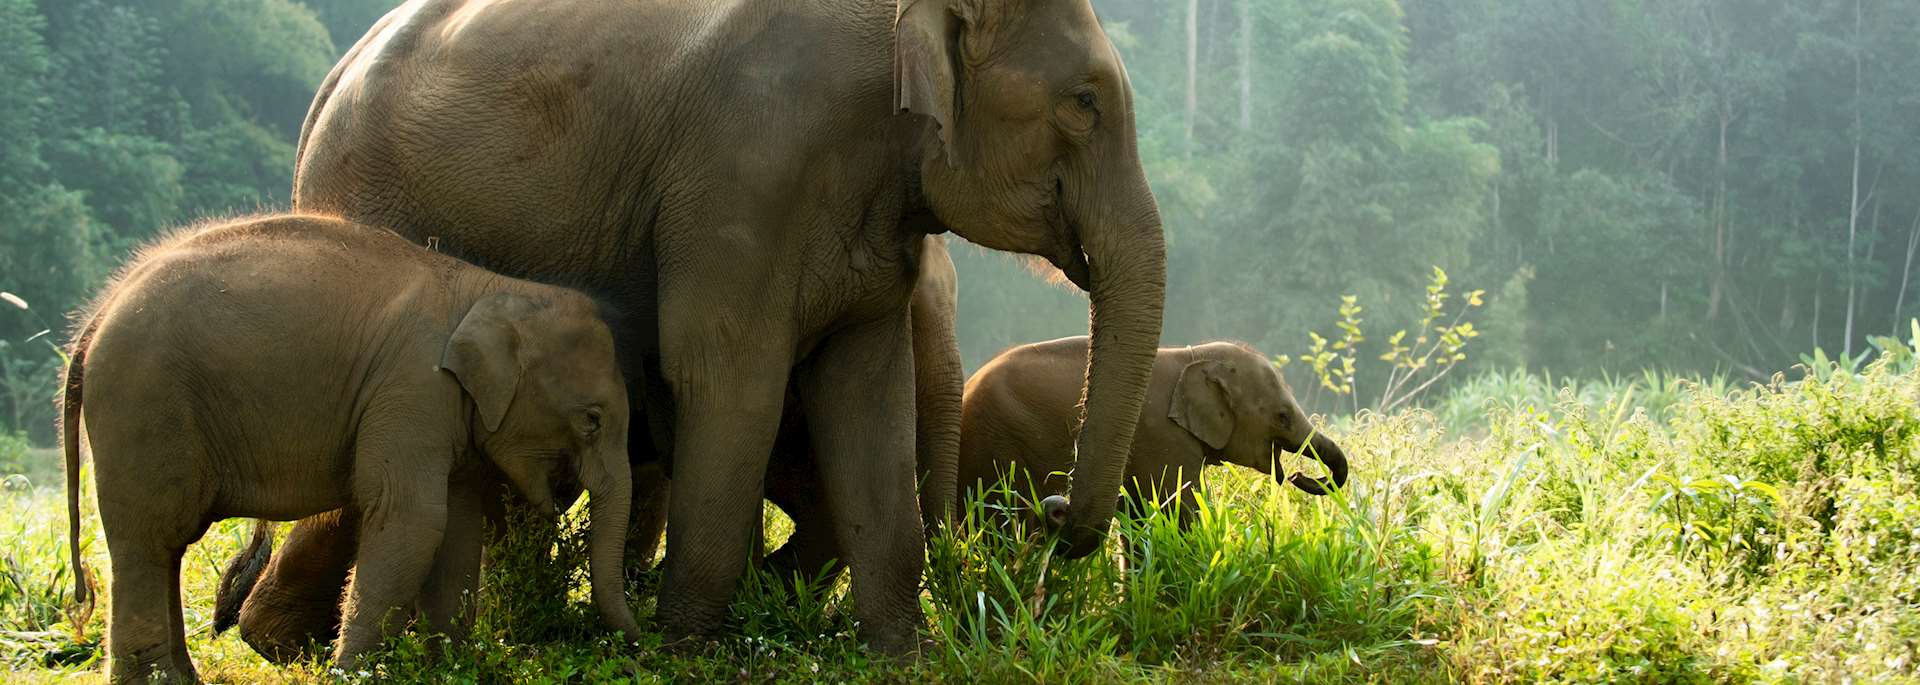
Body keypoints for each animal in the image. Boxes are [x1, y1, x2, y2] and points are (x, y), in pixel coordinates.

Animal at [59, 216, 642, 684]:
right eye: (592, 421)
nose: (639, 648)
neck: (494, 288)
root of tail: (95, 319)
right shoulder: (412, 387)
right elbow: (412, 518)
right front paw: (353, 673)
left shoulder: (443, 410)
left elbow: (457, 528)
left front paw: (447, 669)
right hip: (143, 405)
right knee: (152, 538)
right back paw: (158, 680)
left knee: (165, 545)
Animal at [262, 0, 1168, 654]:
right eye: (1084, 103)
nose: (1051, 505)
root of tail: (329, 82)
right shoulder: (744, 181)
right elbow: (728, 376)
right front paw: (689, 645)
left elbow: (867, 398)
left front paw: (902, 653)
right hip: (367, 202)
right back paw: (283, 640)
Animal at [956, 337, 1349, 533]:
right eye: (1282, 417)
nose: (1297, 475)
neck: (1192, 356)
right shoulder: (1164, 438)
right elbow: (1178, 509)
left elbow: (1141, 513)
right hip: (1000, 446)